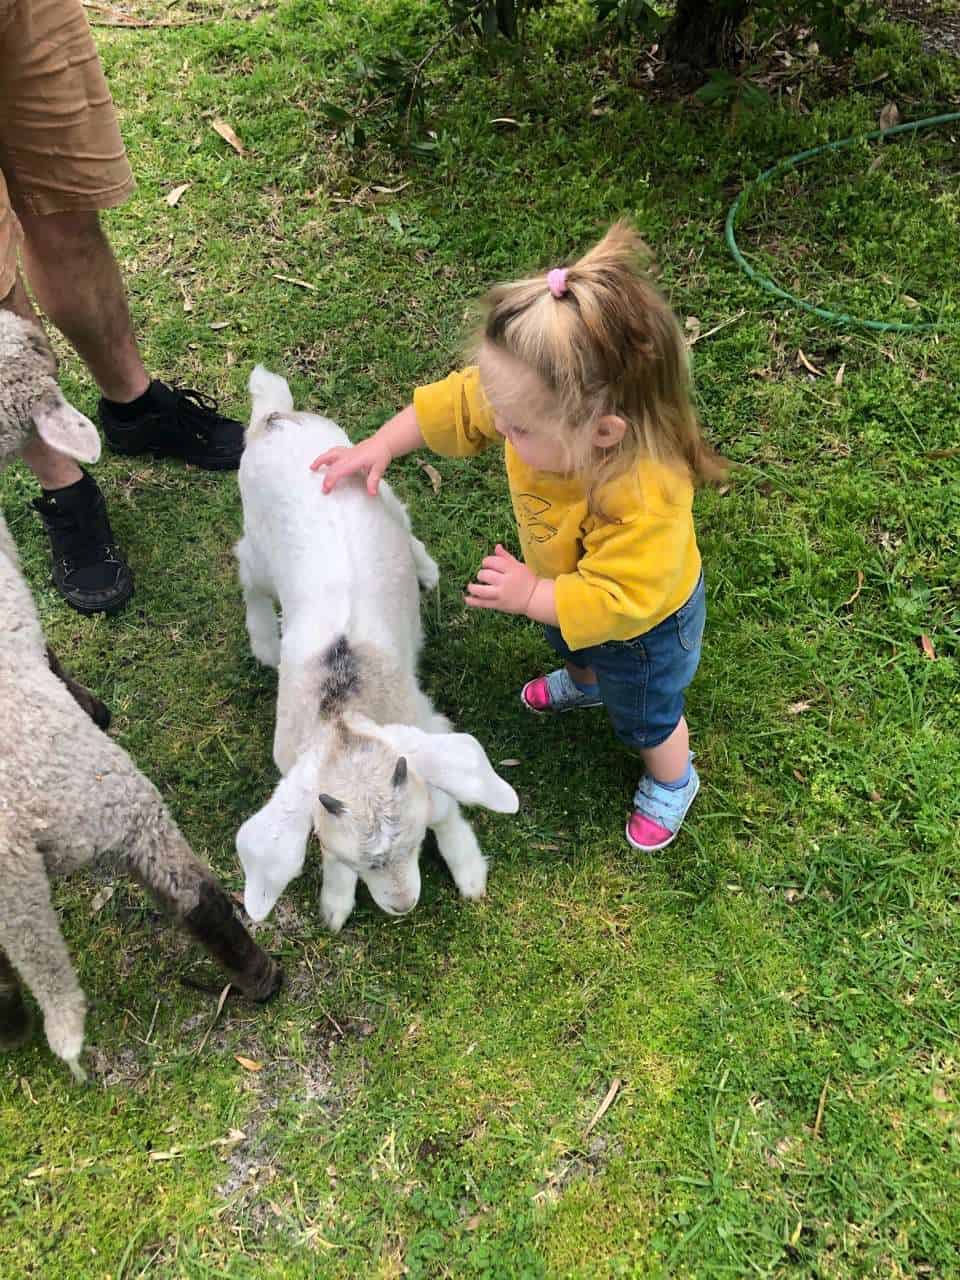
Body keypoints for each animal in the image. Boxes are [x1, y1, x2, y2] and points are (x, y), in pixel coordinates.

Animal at [0, 312, 281, 1080]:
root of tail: (16, 848)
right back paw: (262, 978)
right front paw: (92, 706)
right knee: (192, 896)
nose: (40, 341)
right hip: (123, 808)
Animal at [235, 363, 519, 931]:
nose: (403, 906)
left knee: (403, 522)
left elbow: (448, 808)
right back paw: (265, 642)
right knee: (248, 578)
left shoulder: (426, 727)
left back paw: (424, 571)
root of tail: (274, 418)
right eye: (350, 860)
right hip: (257, 540)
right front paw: (335, 905)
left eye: (414, 842)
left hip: (374, 484)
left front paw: (470, 875)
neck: (342, 709)